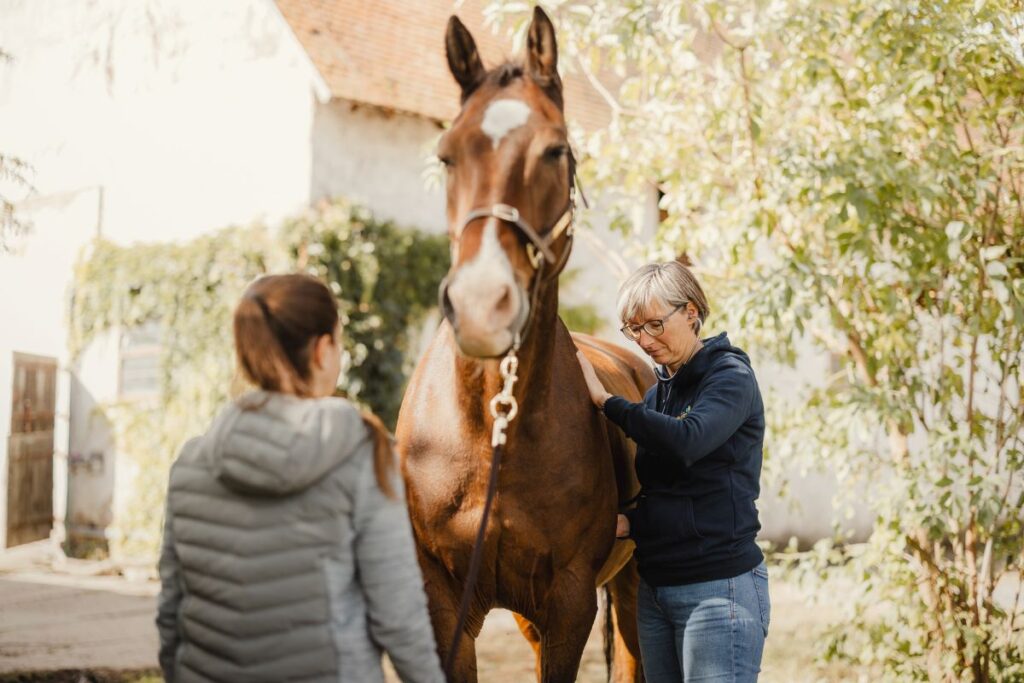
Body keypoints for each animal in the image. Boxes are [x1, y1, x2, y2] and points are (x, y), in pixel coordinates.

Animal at [395, 7, 654, 682]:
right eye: (446, 155)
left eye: (555, 150)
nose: (483, 306)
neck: (493, 431)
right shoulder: (444, 607)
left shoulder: (569, 604)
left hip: (632, 584)